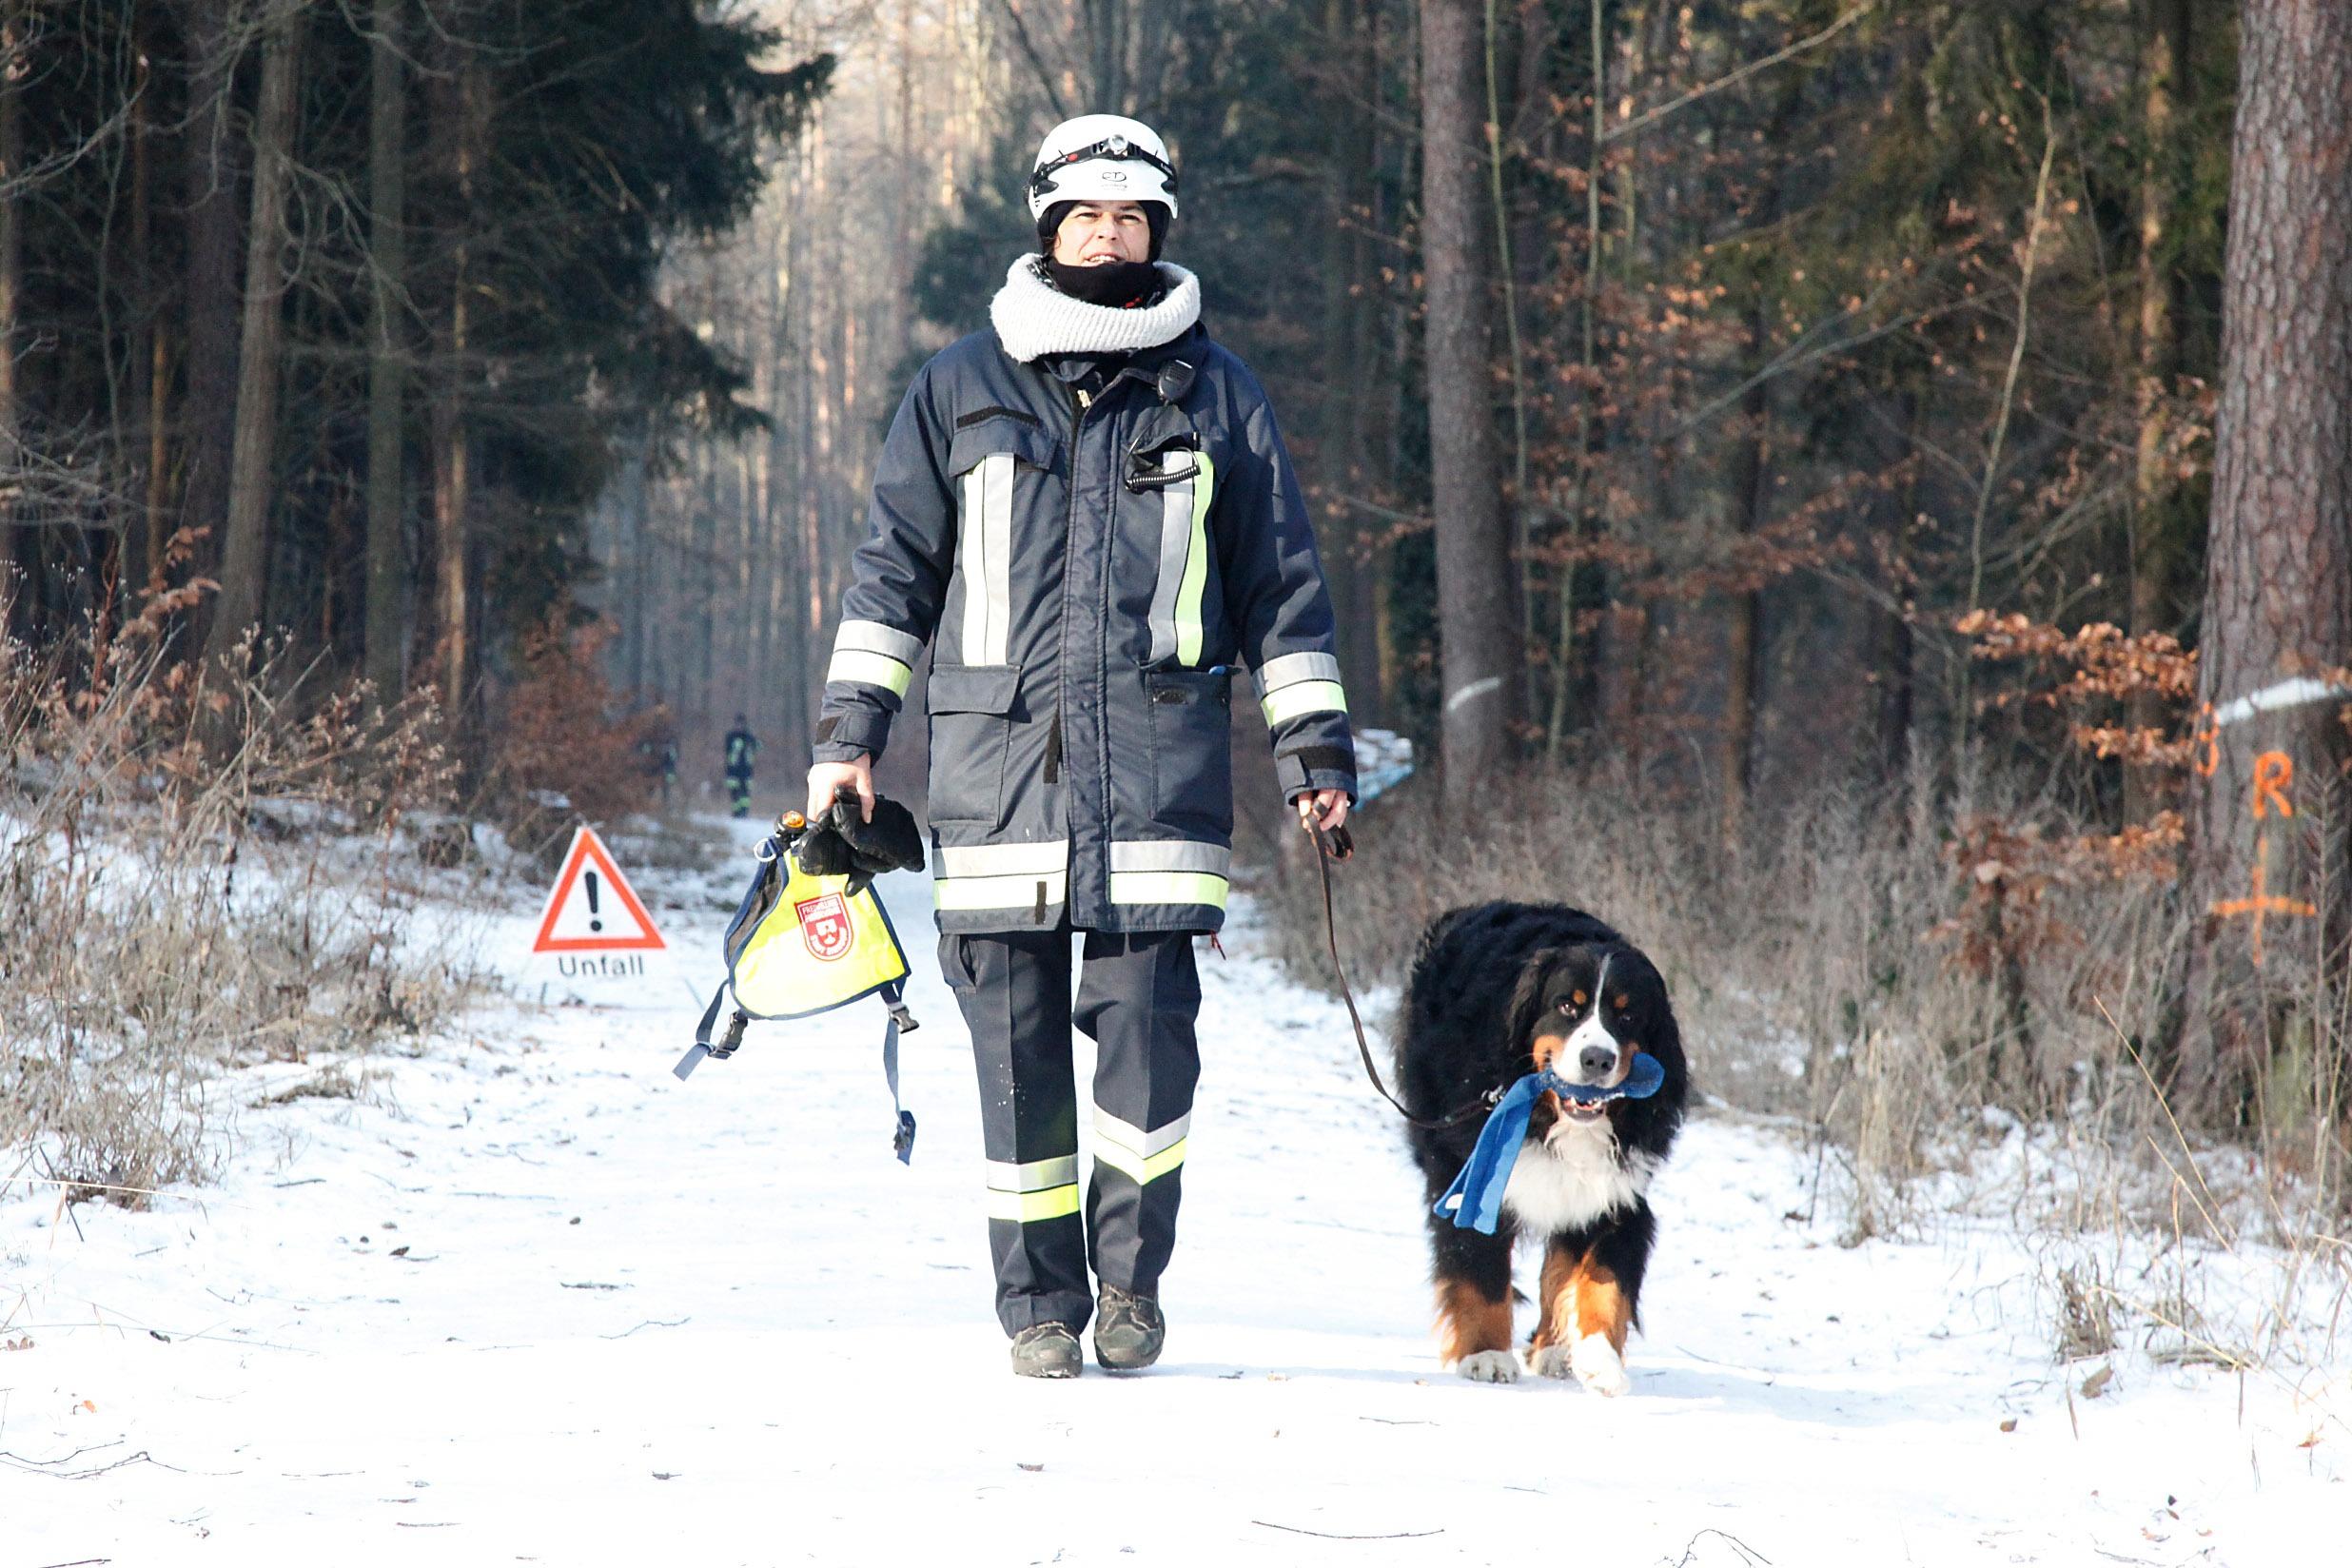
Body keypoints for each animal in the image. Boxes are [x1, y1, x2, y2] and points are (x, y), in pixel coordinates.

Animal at [1392, 902, 1693, 1391]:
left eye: (1627, 1016)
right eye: (1567, 1005)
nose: (1597, 1059)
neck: (1554, 1119)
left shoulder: (1618, 1191)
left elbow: (1603, 1279)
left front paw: (1599, 1358)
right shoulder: (1469, 1173)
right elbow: (1479, 1266)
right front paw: (1486, 1355)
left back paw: (1555, 1348)